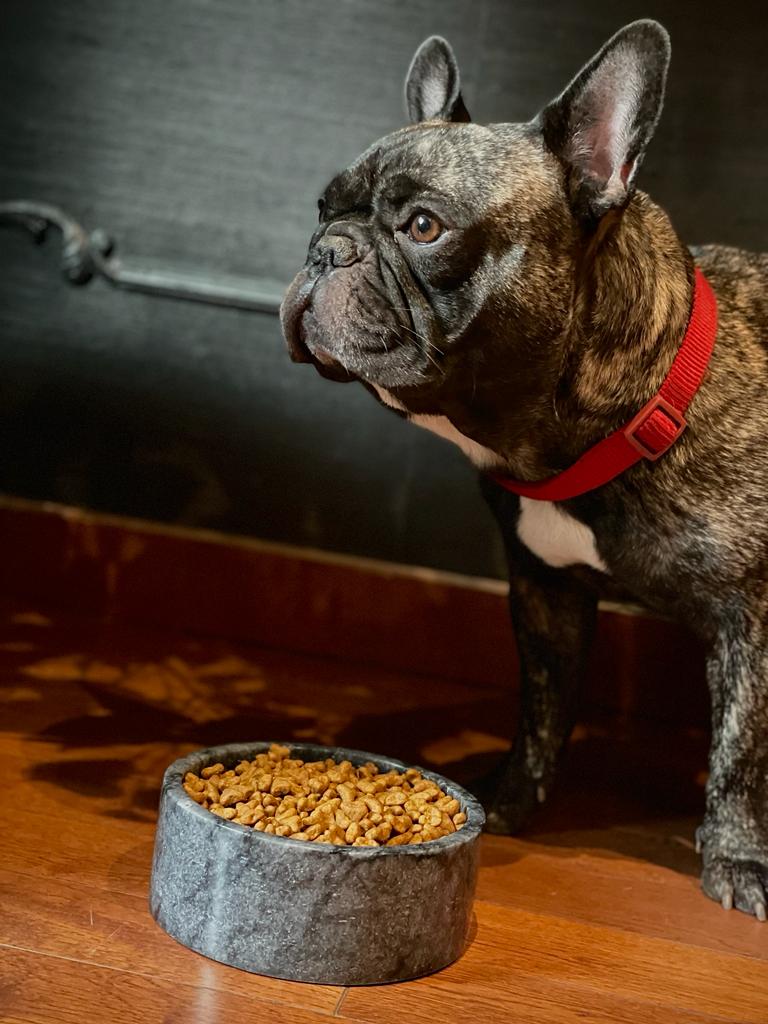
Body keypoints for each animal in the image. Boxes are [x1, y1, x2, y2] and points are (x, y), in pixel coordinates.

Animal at [280, 19, 768, 921]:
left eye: (425, 227)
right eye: (323, 209)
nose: (326, 251)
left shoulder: (751, 619)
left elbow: (741, 747)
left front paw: (739, 857)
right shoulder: (544, 592)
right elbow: (543, 708)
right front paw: (509, 798)